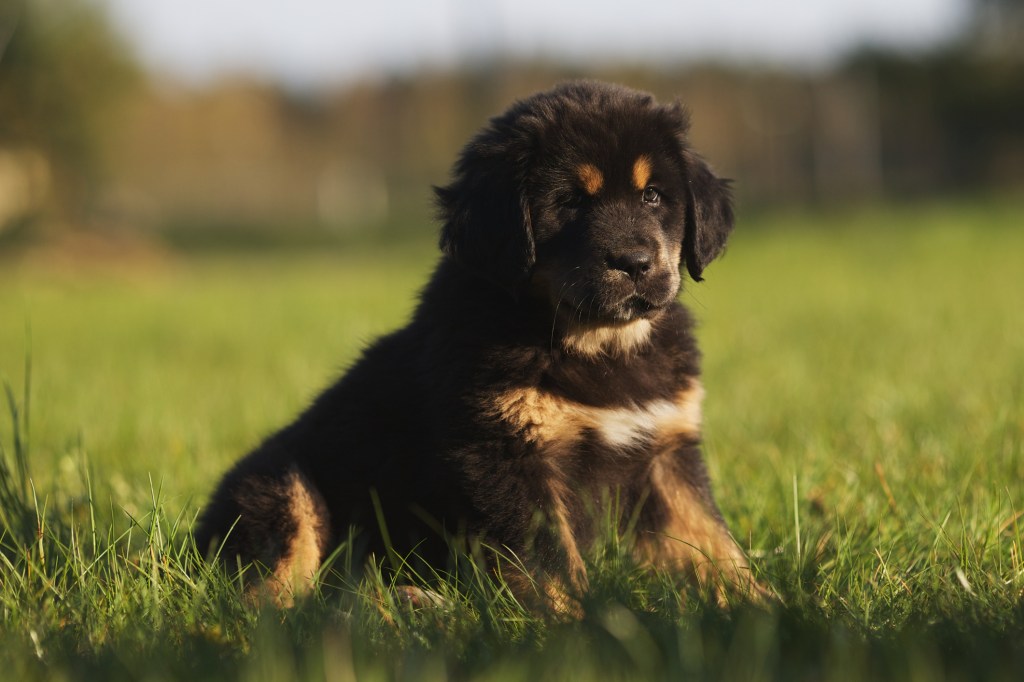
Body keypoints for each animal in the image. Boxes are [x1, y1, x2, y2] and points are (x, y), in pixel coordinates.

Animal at [197, 79, 761, 606]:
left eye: (653, 196)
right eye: (569, 201)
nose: (636, 262)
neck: (597, 344)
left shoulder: (665, 452)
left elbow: (713, 545)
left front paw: (762, 607)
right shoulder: (505, 455)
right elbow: (551, 563)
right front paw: (580, 625)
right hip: (279, 485)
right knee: (278, 590)